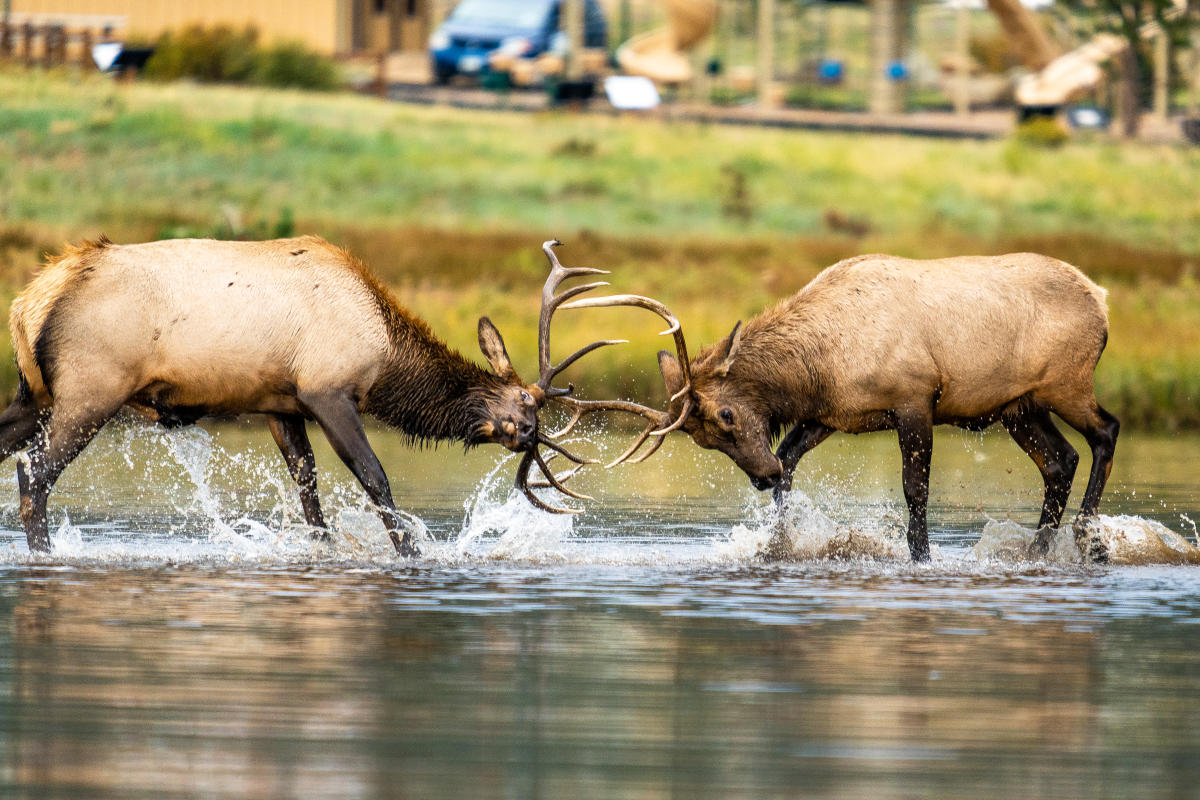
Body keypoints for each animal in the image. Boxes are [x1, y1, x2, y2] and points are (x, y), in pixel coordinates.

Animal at [0, 236, 686, 556]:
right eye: (527, 407)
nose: (528, 440)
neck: (384, 353)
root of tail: (31, 299)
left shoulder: (278, 405)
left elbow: (310, 499)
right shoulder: (327, 390)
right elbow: (375, 479)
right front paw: (413, 551)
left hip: (32, 394)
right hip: (93, 387)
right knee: (34, 475)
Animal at [569, 252, 1121, 563]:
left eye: (726, 415)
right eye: (703, 440)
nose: (759, 477)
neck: (819, 366)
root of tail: (1102, 298)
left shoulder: (915, 398)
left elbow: (915, 489)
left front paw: (921, 556)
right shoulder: (833, 416)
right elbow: (790, 459)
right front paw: (779, 543)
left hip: (1067, 384)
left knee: (1106, 431)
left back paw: (1090, 541)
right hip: (1018, 407)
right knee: (1060, 460)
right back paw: (1038, 549)